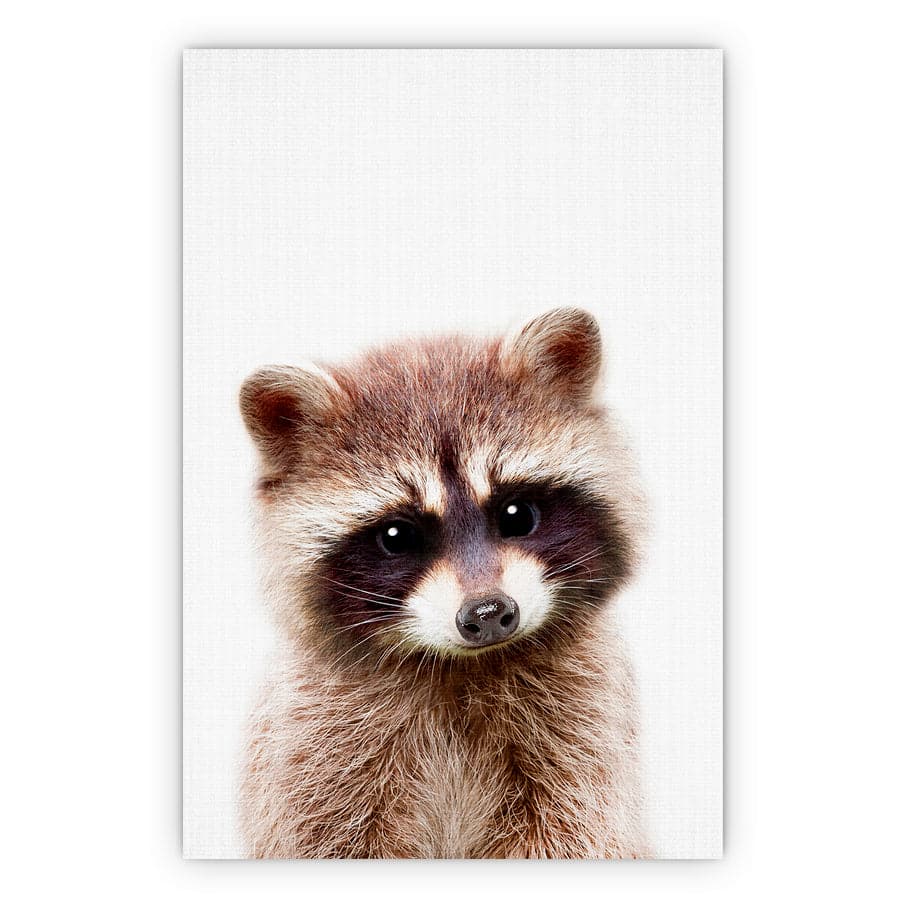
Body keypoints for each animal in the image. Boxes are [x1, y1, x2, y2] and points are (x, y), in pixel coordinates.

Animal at [238, 307, 651, 858]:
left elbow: (575, 828)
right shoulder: (312, 746)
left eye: (517, 514)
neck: (461, 667)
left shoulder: (585, 728)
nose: (488, 613)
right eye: (397, 535)